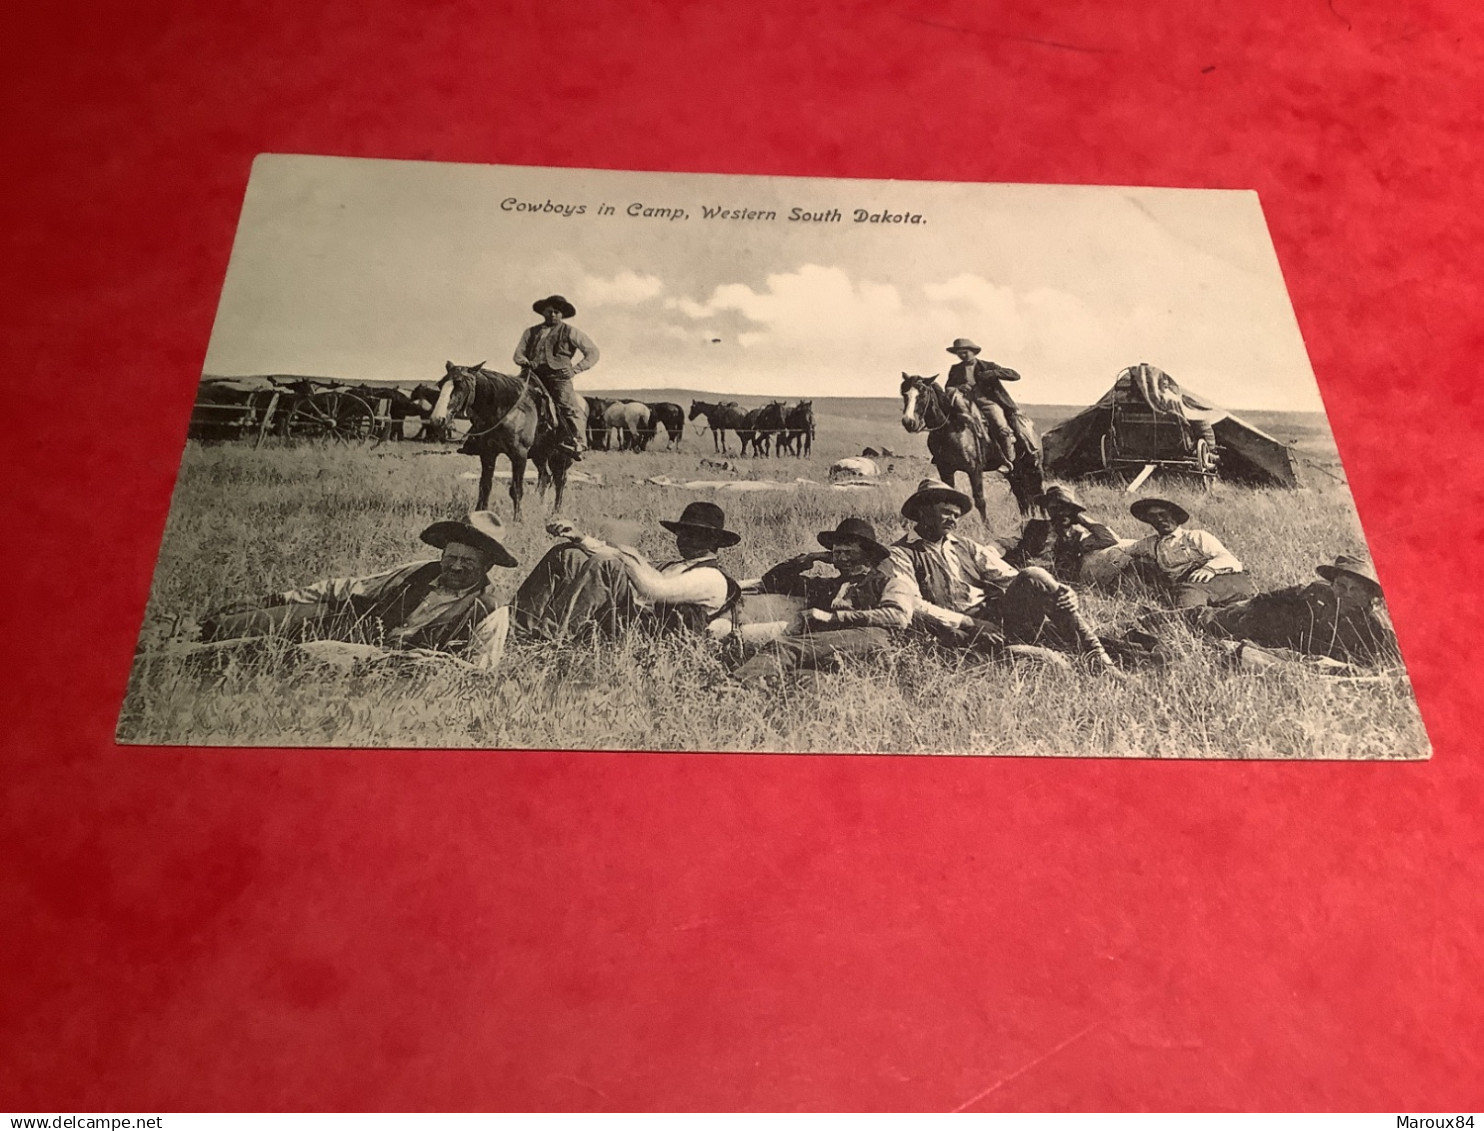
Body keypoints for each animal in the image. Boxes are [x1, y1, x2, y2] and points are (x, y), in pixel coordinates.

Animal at [430, 359, 572, 516]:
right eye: (440, 384)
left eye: (461, 385)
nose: (437, 419)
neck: (506, 412)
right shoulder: (488, 453)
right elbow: (485, 486)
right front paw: (480, 514)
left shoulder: (519, 455)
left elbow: (516, 490)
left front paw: (518, 519)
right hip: (539, 454)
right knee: (545, 477)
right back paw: (541, 506)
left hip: (558, 456)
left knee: (560, 480)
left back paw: (555, 511)